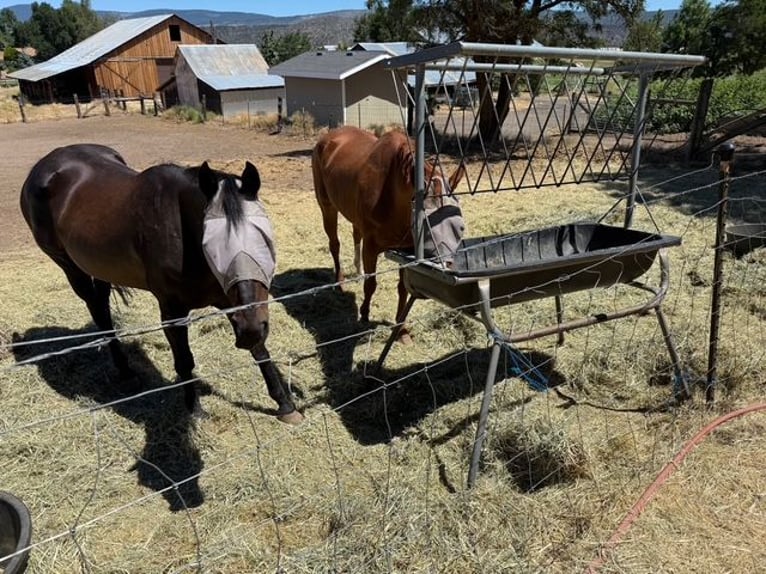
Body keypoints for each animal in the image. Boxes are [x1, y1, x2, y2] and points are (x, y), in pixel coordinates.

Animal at [19, 143, 302, 424]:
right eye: (213, 248)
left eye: (264, 239)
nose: (251, 329)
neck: (184, 236)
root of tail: (47, 164)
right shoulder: (172, 311)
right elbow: (184, 360)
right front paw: (194, 409)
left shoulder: (232, 302)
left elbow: (259, 350)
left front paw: (285, 405)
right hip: (69, 266)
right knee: (97, 310)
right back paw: (125, 372)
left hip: (98, 266)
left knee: (102, 306)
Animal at [311, 126, 466, 340]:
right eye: (425, 222)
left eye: (460, 225)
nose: (446, 263)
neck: (391, 195)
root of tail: (328, 136)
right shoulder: (371, 247)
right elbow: (371, 284)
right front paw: (364, 315)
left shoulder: (406, 251)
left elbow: (403, 288)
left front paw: (401, 330)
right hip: (326, 206)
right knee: (334, 244)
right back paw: (340, 282)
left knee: (355, 235)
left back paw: (357, 271)